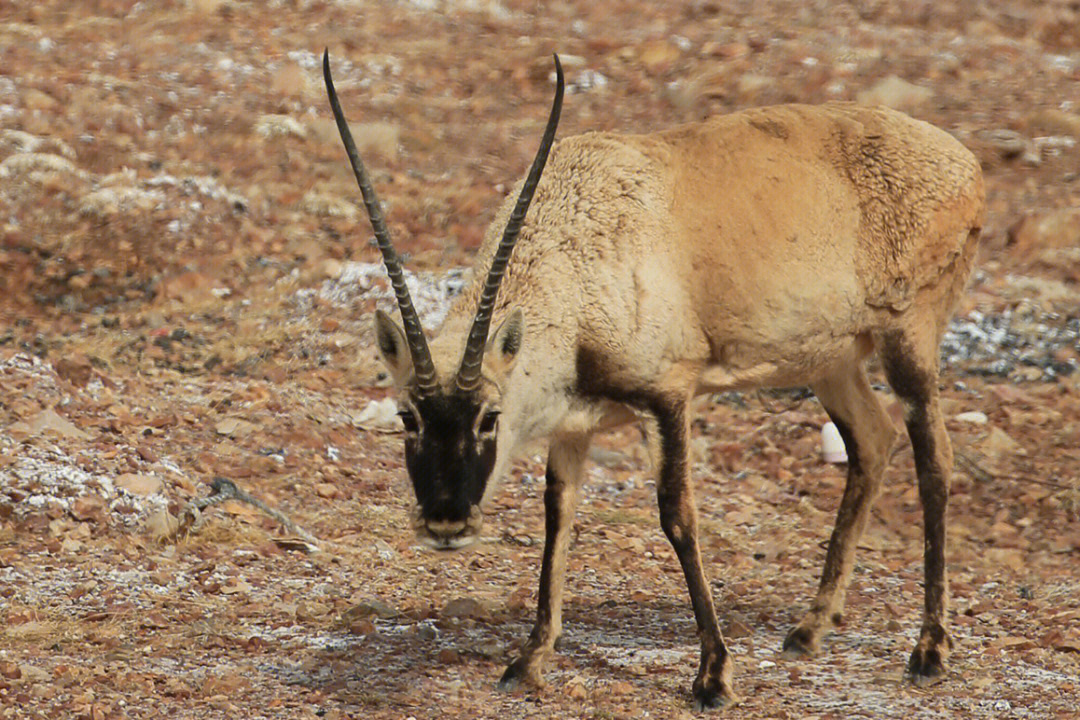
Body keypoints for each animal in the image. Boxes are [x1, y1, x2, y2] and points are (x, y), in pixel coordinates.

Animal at [321, 52, 989, 708]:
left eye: (490, 415)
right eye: (408, 416)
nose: (446, 523)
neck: (579, 250)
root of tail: (965, 163)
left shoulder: (667, 398)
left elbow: (678, 516)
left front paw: (714, 675)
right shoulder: (573, 428)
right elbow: (558, 516)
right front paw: (530, 659)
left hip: (908, 337)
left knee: (934, 460)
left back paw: (929, 650)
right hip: (831, 363)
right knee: (873, 441)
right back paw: (810, 628)